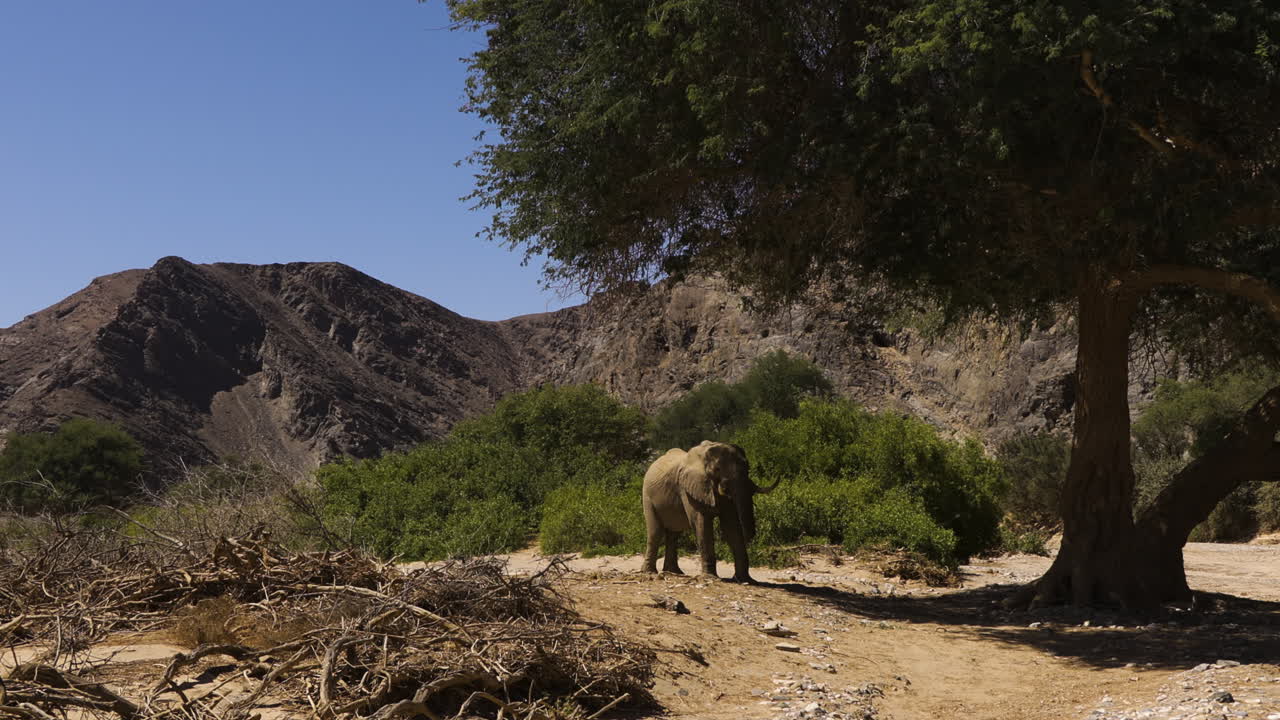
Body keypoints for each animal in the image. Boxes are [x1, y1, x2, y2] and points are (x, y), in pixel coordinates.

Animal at [641, 440, 778, 582]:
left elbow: (731, 526)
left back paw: (674, 572)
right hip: (647, 497)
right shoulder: (688, 488)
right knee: (656, 532)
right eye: (717, 470)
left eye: (747, 468)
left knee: (674, 535)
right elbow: (702, 524)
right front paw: (710, 577)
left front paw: (746, 580)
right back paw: (649, 572)